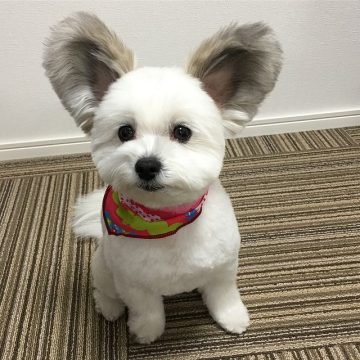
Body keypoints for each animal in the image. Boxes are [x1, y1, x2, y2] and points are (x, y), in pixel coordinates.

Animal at [43, 11, 282, 344]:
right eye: (125, 132)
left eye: (182, 132)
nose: (146, 165)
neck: (164, 221)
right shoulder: (132, 282)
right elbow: (148, 310)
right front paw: (146, 332)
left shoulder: (223, 267)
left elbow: (223, 296)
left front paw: (231, 317)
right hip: (104, 264)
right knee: (104, 289)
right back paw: (108, 308)